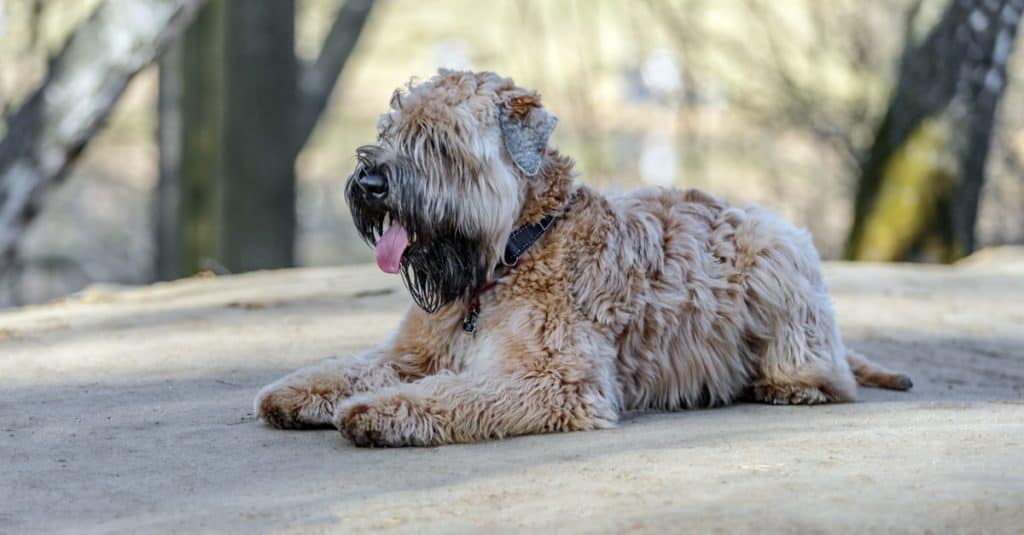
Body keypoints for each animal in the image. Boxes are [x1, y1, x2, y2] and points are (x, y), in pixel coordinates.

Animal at [256, 70, 913, 444]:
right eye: (389, 129)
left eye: (440, 142)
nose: (369, 184)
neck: (512, 253)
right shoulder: (414, 353)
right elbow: (354, 367)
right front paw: (297, 391)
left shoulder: (549, 379)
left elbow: (449, 395)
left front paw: (376, 412)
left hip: (779, 249)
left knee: (825, 369)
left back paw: (789, 385)